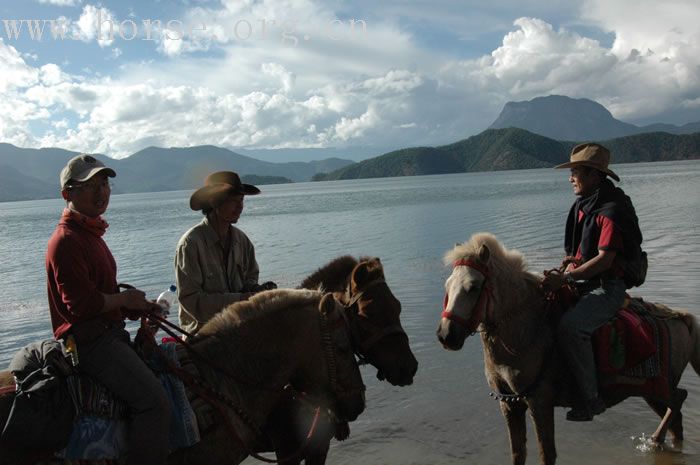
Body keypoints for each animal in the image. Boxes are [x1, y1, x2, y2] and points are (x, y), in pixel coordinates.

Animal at [434, 234, 696, 462]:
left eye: (473, 287)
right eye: (448, 284)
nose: (446, 335)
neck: (526, 330)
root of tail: (680, 317)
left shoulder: (539, 402)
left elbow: (546, 453)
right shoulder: (508, 404)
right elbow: (518, 453)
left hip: (659, 388)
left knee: (678, 401)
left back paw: (656, 439)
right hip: (650, 391)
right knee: (677, 417)